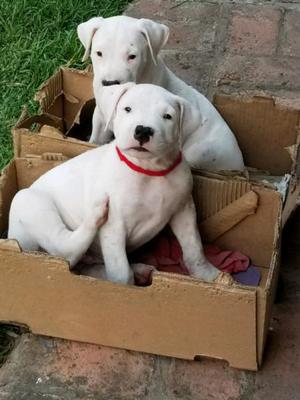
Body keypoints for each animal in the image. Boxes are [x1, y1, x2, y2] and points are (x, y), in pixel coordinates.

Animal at [8, 83, 220, 284]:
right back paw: (95, 215)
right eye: (127, 109)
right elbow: (120, 271)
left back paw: (140, 270)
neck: (150, 170)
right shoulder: (115, 225)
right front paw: (125, 287)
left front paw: (209, 275)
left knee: (84, 266)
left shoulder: (183, 209)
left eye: (168, 116)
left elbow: (194, 247)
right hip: (28, 201)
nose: (143, 130)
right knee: (63, 250)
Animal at [77, 15, 244, 170]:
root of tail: (241, 166)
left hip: (200, 152)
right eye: (99, 53)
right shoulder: (100, 116)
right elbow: (95, 139)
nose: (109, 83)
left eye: (132, 56)